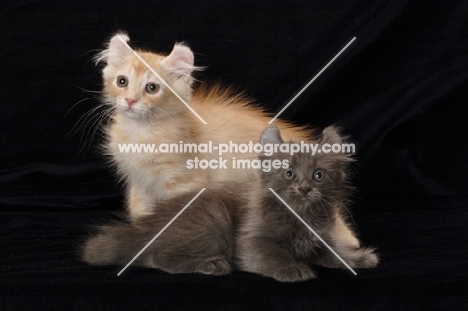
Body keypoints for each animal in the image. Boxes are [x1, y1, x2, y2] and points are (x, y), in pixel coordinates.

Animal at [236, 126, 378, 282]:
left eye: (319, 175)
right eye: (289, 173)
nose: (304, 188)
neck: (302, 215)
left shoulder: (323, 239)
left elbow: (338, 252)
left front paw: (358, 258)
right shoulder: (253, 240)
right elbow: (274, 254)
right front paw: (291, 268)